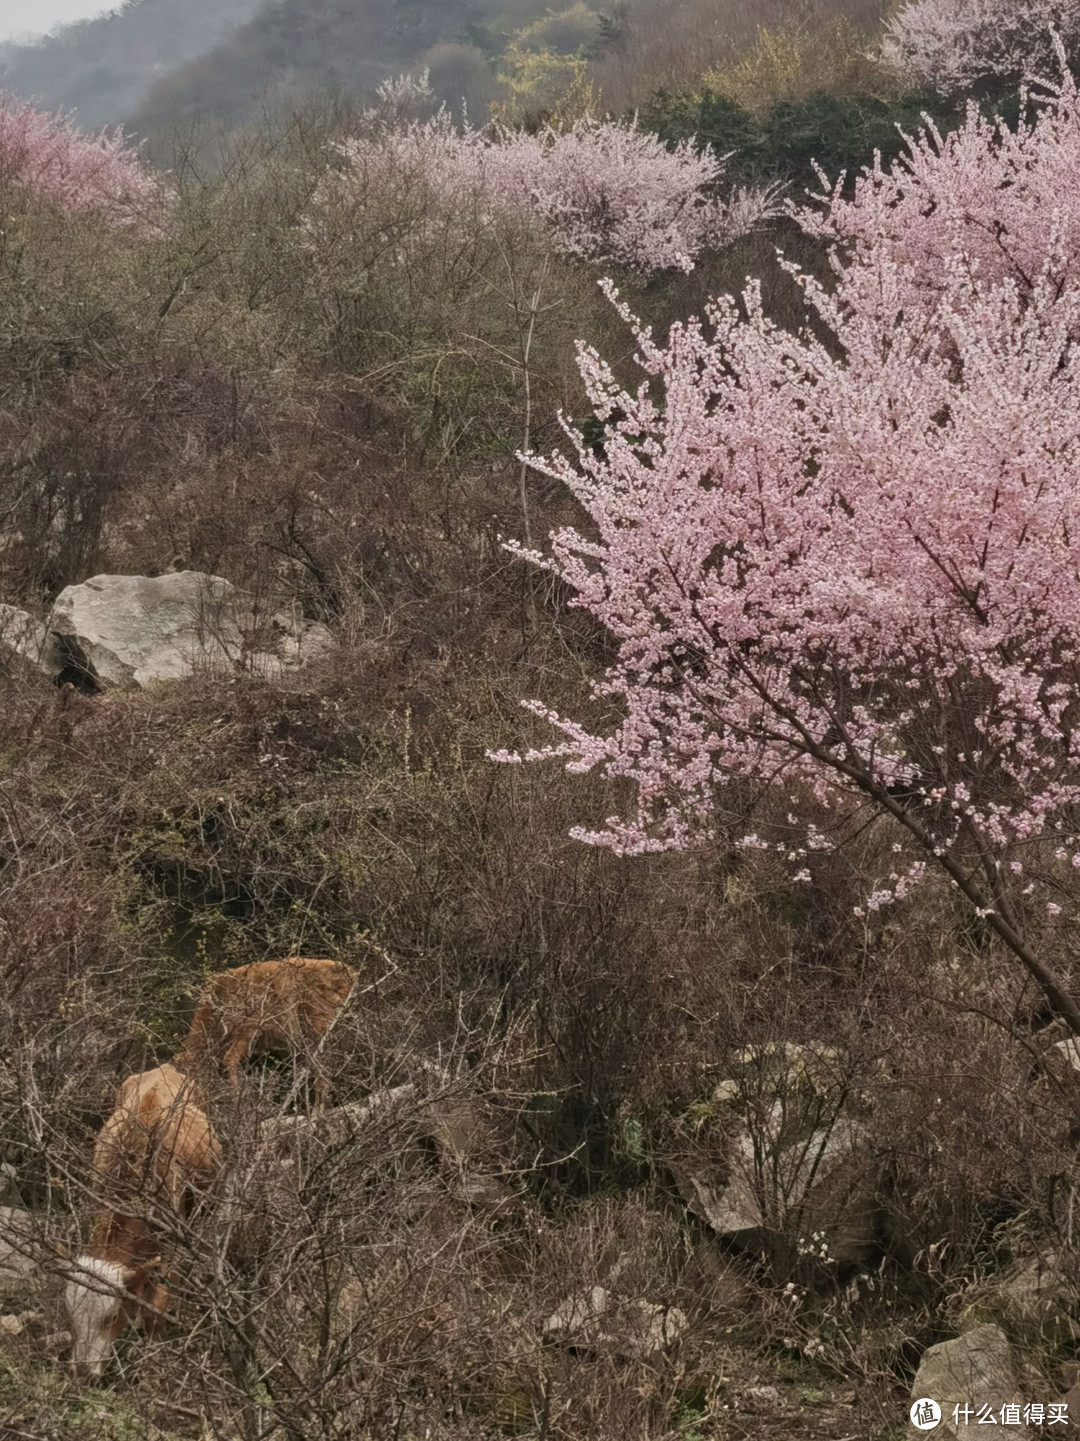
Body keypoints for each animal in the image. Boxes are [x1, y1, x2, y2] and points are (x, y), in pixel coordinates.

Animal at [64, 1066, 220, 1377]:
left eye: (112, 1316)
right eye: (71, 1316)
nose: (83, 1372)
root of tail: (166, 1068)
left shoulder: (174, 1245)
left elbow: (156, 1305)